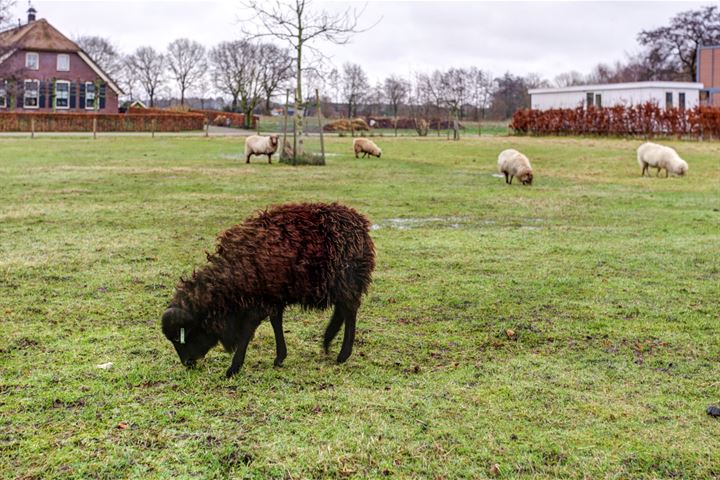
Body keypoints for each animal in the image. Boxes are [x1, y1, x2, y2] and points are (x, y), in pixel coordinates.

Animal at [162, 202, 376, 378]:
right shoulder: (273, 296)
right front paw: (280, 357)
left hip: (347, 279)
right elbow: (276, 322)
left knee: (349, 312)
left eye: (181, 336)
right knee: (341, 310)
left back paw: (343, 354)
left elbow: (248, 330)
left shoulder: (259, 301)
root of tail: (360, 222)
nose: (187, 363)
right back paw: (327, 341)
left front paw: (233, 369)